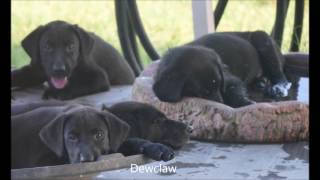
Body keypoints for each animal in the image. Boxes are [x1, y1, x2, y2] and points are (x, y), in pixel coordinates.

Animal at [154, 31, 292, 107]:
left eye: (219, 85)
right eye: (204, 92)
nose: (221, 103)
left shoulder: (230, 80)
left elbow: (234, 91)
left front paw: (245, 103)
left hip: (263, 39)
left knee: (281, 76)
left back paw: (278, 88)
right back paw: (261, 82)